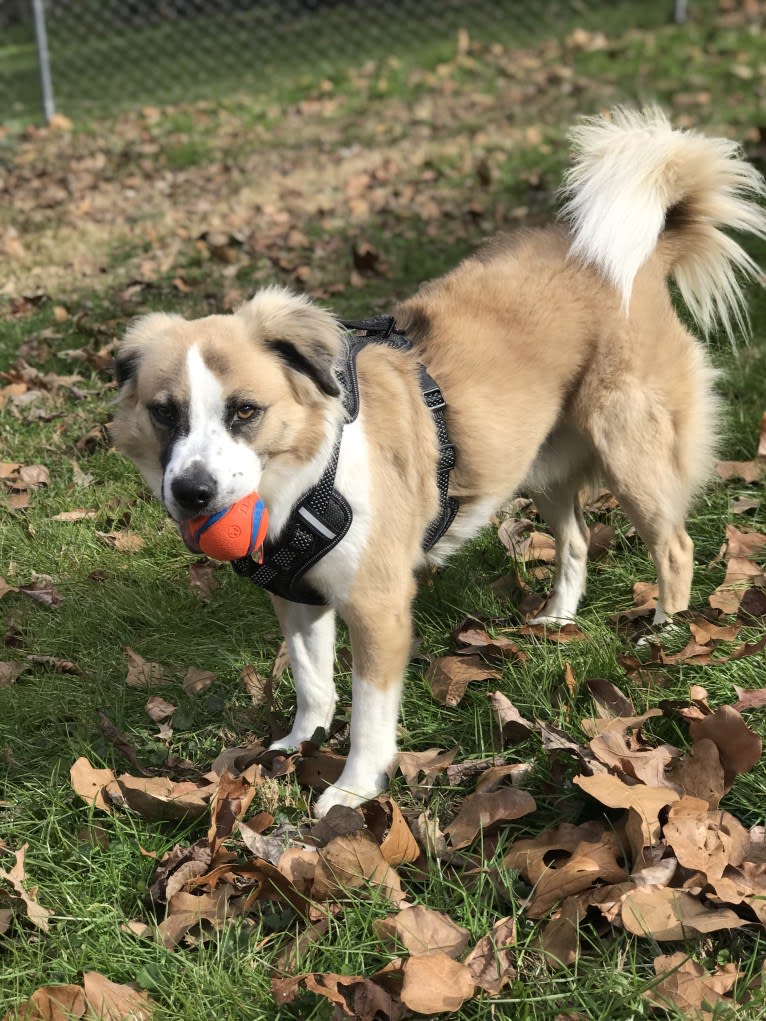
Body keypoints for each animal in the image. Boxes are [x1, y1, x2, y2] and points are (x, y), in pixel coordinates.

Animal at [110, 107, 763, 816]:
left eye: (245, 411)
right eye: (165, 412)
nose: (191, 492)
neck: (306, 476)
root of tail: (637, 254)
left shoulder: (377, 606)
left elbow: (369, 716)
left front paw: (351, 789)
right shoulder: (299, 596)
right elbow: (313, 684)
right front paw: (298, 744)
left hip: (629, 449)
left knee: (674, 546)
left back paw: (667, 635)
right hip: (540, 465)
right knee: (576, 542)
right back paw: (560, 617)